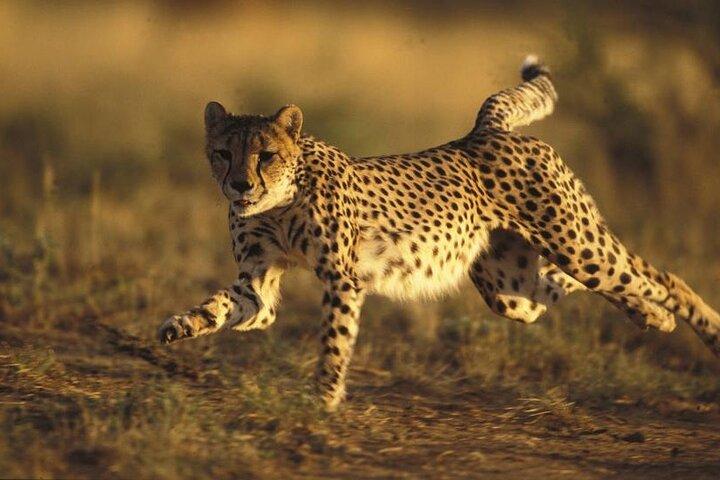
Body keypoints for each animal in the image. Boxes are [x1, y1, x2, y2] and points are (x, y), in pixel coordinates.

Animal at [158, 56, 720, 411]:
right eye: (223, 153)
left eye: (266, 155)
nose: (238, 184)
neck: (277, 202)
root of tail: (484, 130)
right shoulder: (259, 284)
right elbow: (224, 306)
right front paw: (179, 326)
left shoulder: (342, 278)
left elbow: (334, 341)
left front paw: (323, 399)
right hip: (511, 289)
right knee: (574, 286)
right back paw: (653, 317)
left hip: (576, 242)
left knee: (656, 276)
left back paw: (690, 324)